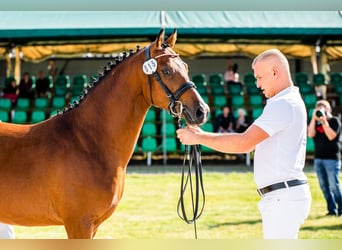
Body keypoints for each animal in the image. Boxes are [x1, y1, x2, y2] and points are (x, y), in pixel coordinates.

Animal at [0, 29, 208, 238]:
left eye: (185, 67)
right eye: (166, 71)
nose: (201, 111)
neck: (87, 142)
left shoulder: (93, 226)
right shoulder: (79, 224)